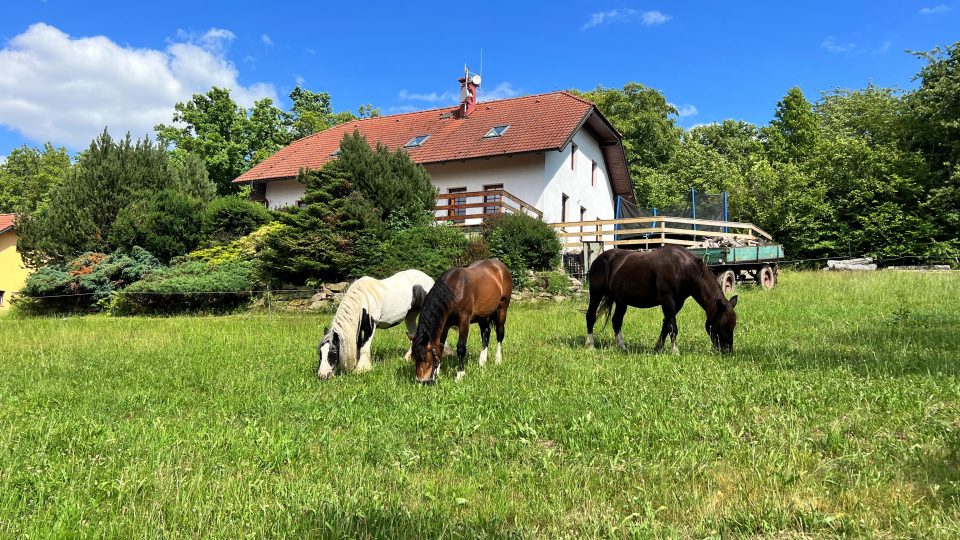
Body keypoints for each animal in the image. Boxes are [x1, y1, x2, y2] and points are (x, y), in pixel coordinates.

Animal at [580, 246, 740, 354]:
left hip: (621, 300)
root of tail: (599, 259)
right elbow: (672, 326)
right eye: (723, 324)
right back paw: (590, 344)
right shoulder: (667, 299)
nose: (727, 351)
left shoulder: (678, 302)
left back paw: (623, 347)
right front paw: (675, 350)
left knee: (616, 321)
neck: (683, 267)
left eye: (733, 325)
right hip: (596, 293)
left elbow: (666, 324)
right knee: (590, 316)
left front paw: (658, 348)